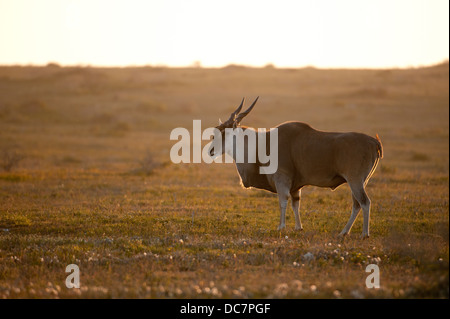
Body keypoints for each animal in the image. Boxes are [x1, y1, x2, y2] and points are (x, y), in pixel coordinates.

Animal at [209, 97, 384, 240]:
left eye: (224, 133)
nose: (210, 151)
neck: (263, 143)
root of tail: (374, 142)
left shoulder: (282, 180)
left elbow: (283, 201)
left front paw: (281, 227)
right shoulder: (295, 187)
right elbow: (295, 204)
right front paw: (298, 228)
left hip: (355, 181)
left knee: (365, 202)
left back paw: (364, 234)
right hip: (362, 182)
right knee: (357, 204)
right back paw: (344, 232)